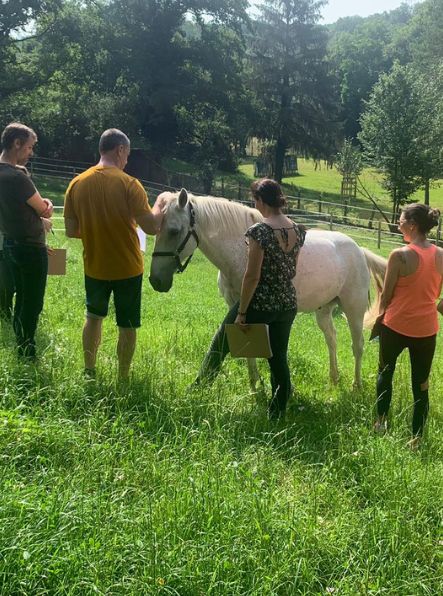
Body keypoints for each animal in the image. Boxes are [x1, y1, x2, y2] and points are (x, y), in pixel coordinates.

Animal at [149, 189, 386, 388]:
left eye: (174, 231)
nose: (155, 281)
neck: (242, 250)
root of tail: (359, 250)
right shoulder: (238, 310)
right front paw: (255, 384)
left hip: (353, 309)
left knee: (358, 345)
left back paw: (356, 386)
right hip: (324, 310)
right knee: (332, 339)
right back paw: (334, 379)